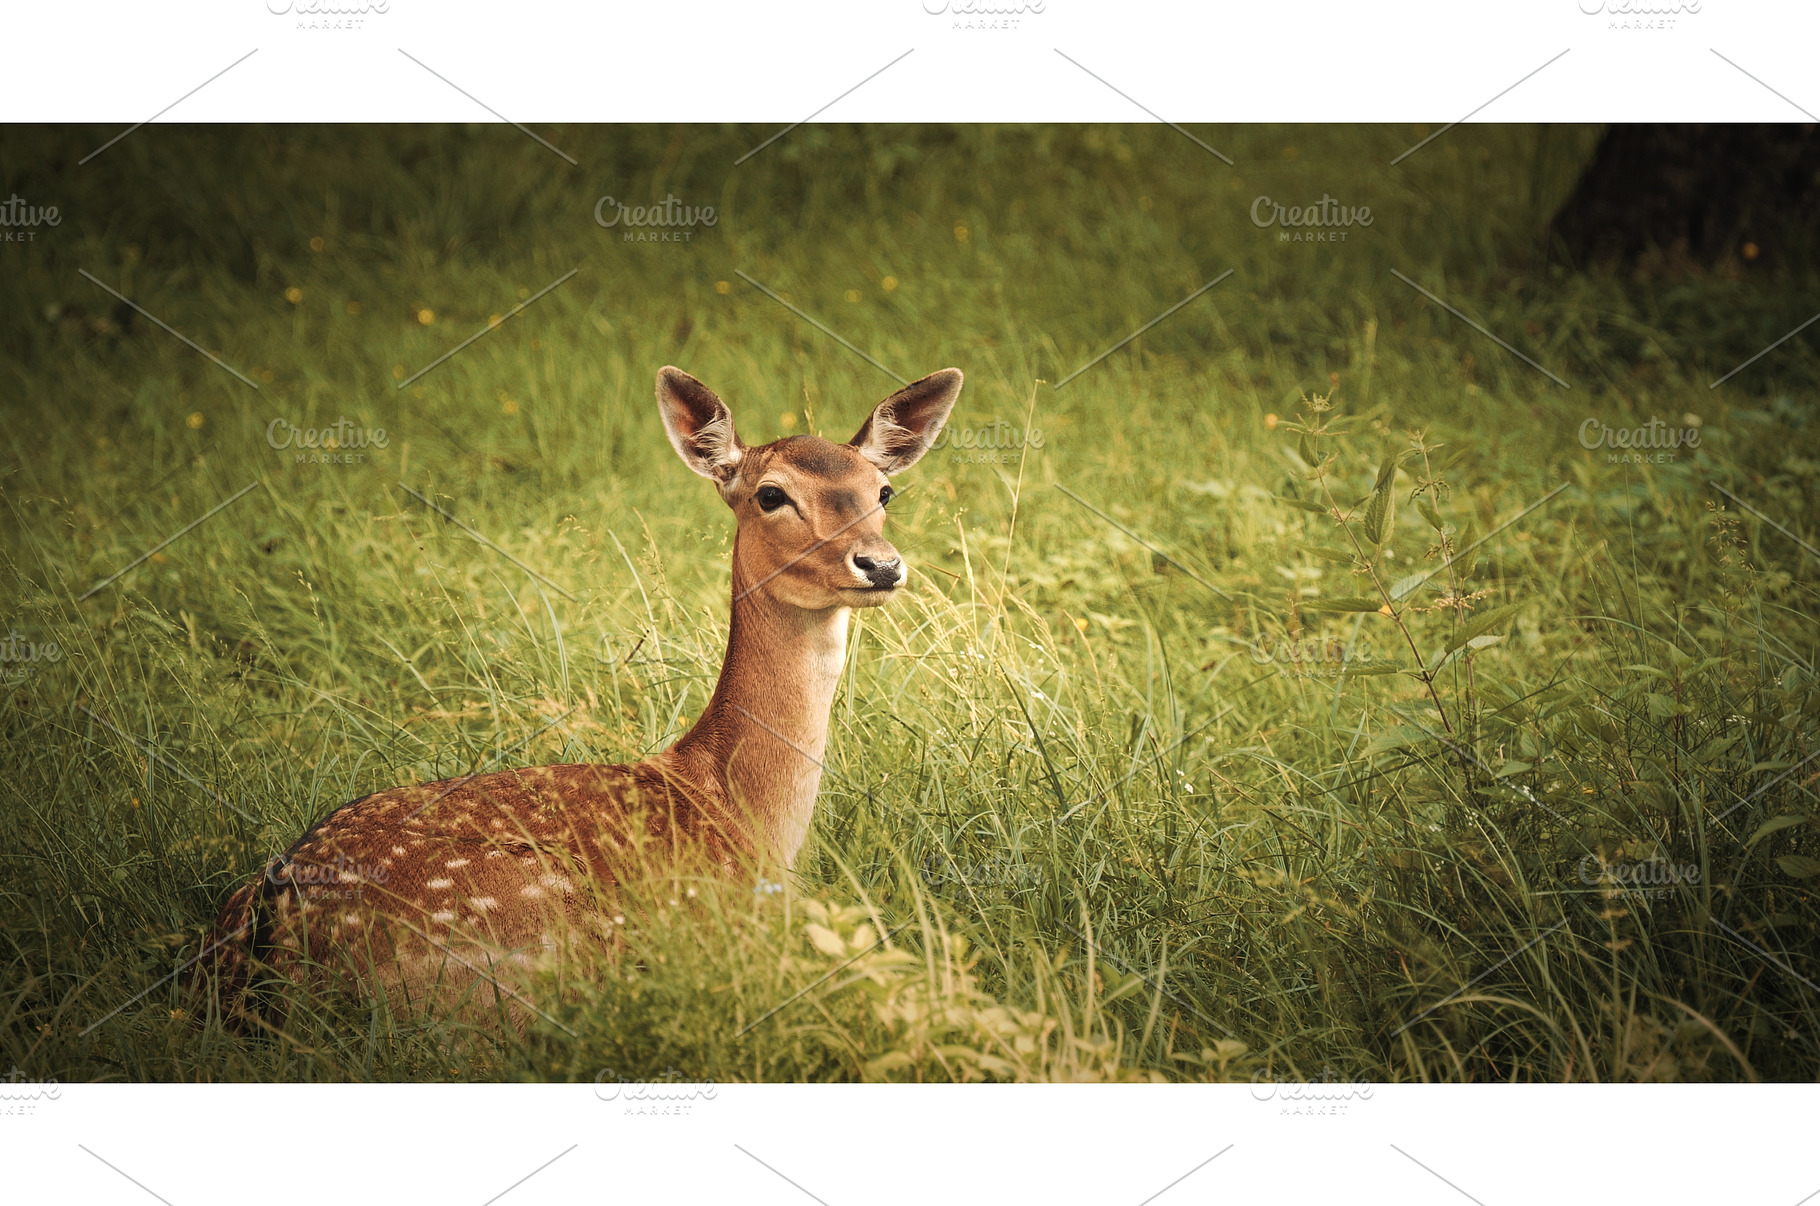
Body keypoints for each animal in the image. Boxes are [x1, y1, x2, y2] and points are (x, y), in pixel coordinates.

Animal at [208, 364, 963, 1022]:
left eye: (884, 492)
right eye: (771, 494)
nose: (881, 564)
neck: (744, 817)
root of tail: (280, 918)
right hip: (508, 961)